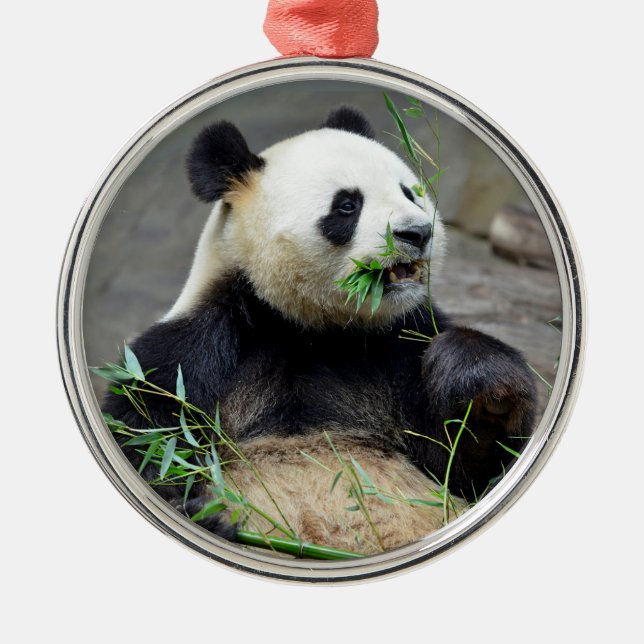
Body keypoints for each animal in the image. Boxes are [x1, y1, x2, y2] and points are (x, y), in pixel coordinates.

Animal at [104, 106, 536, 555]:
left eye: (410, 192)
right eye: (347, 205)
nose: (417, 233)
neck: (312, 328)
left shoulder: (400, 345)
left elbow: (466, 466)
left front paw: (481, 383)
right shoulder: (195, 351)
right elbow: (149, 437)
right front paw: (200, 513)